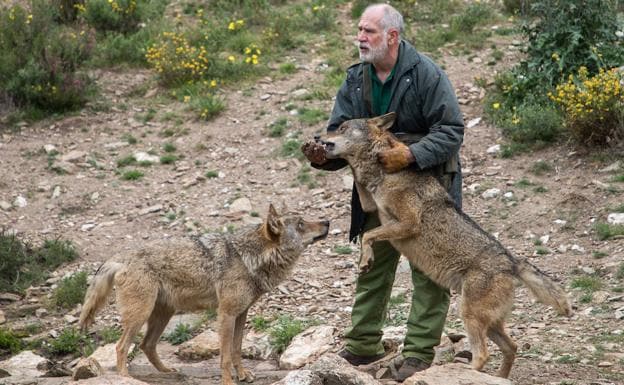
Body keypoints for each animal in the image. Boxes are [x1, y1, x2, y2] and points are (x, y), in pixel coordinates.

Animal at [316, 112, 572, 378]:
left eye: (342, 128)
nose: (316, 137)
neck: (384, 174)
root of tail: (512, 261)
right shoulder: (371, 206)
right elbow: (366, 216)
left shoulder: (408, 223)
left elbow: (368, 235)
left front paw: (366, 260)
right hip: (488, 323)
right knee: (512, 347)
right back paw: (499, 378)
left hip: (469, 315)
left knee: (483, 354)